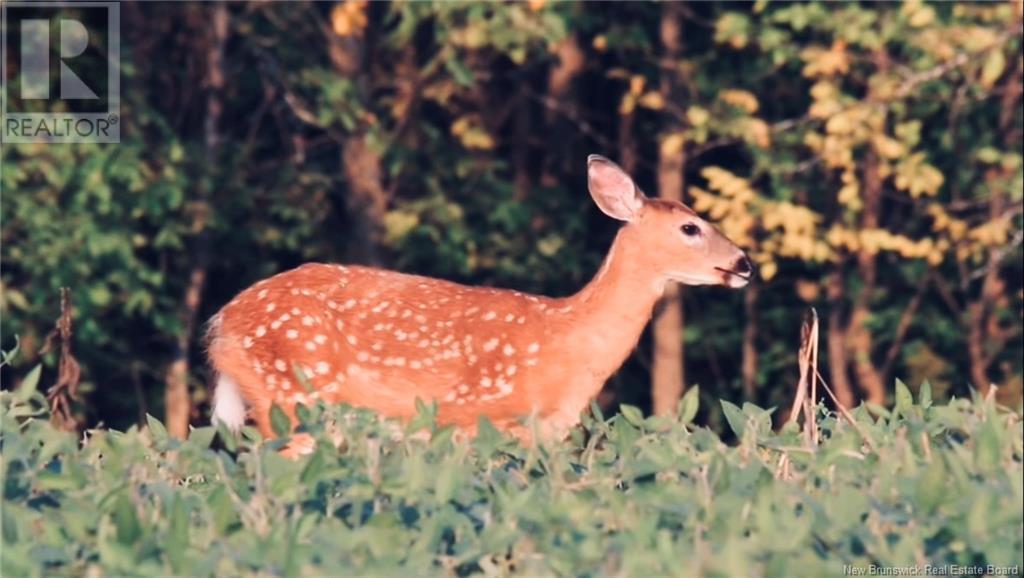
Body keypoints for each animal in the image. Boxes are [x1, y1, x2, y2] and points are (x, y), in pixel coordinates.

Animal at [207, 155, 753, 452]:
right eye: (690, 227)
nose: (744, 263)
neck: (569, 341)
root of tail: (222, 322)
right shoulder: (477, 418)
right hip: (295, 392)